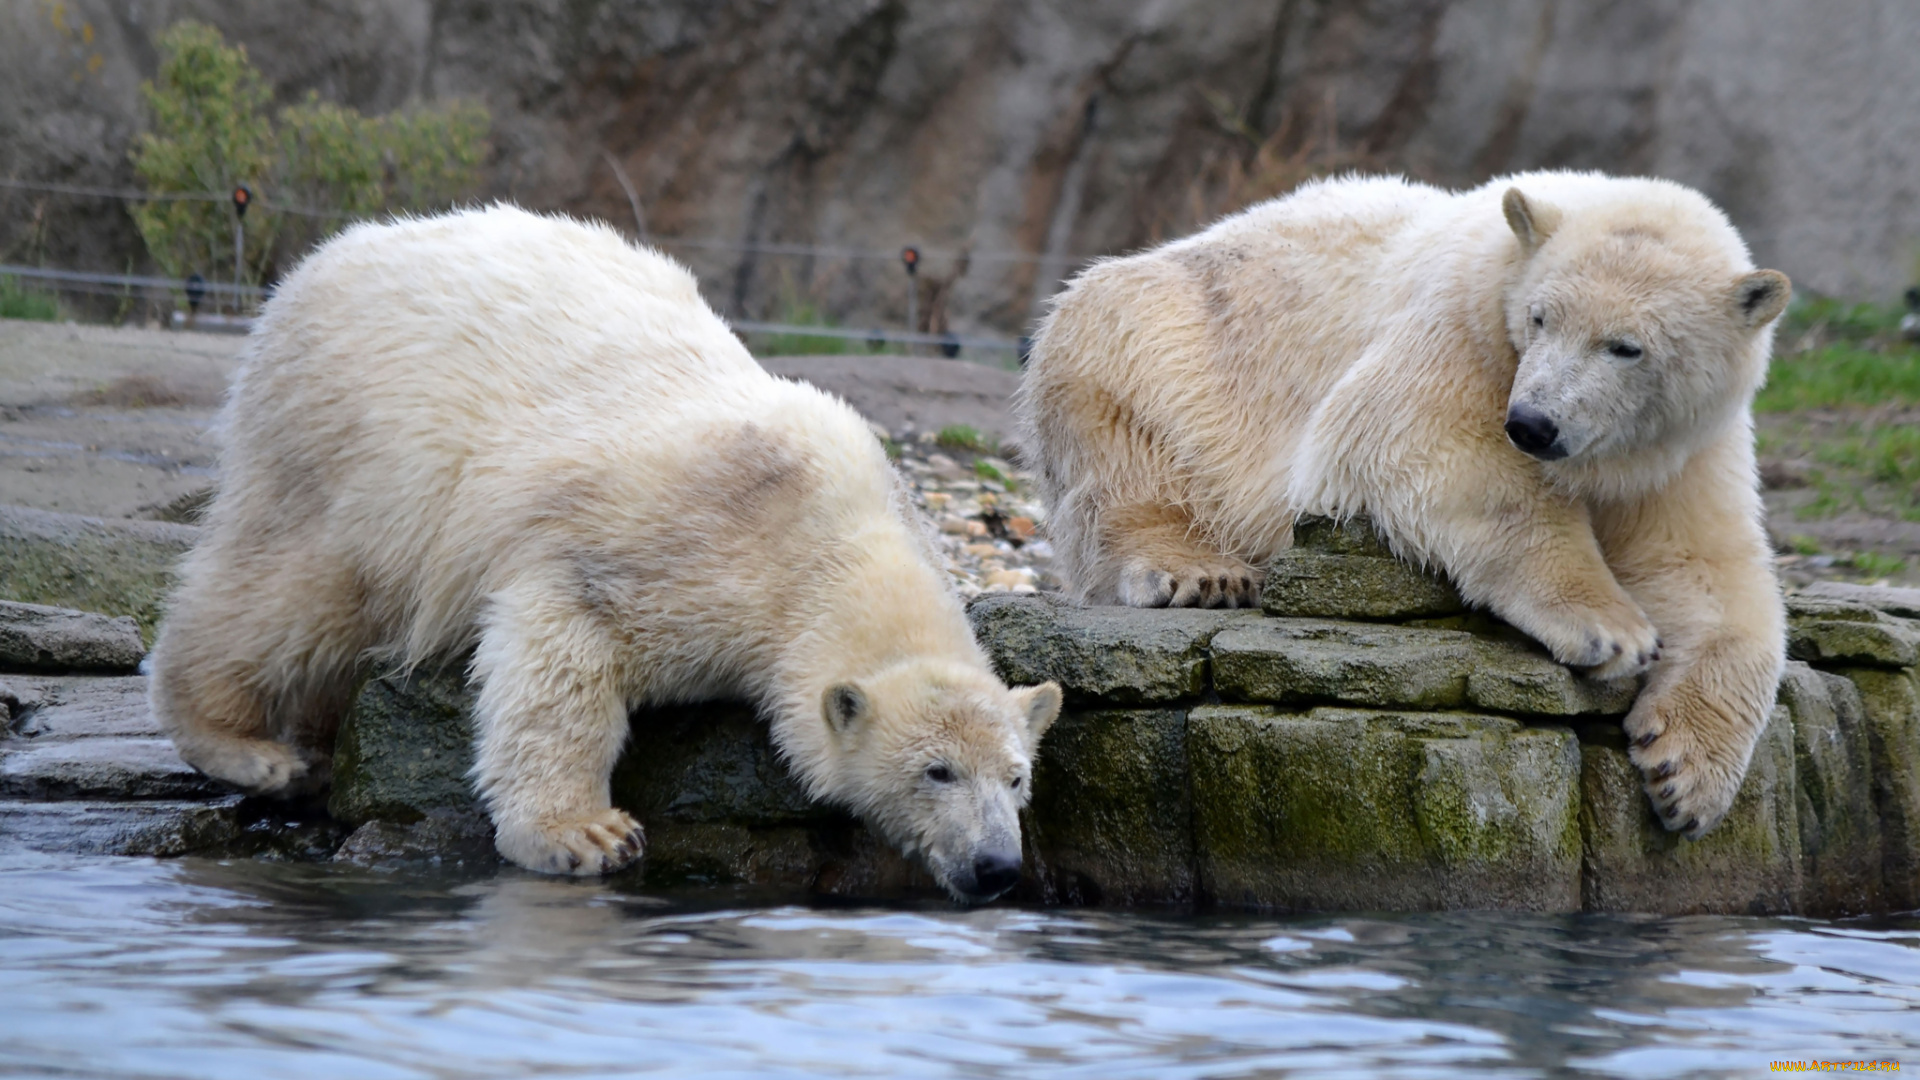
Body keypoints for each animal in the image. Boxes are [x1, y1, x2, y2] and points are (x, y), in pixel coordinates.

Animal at [149, 205, 1067, 895]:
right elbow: (561, 651)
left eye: (1016, 777)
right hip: (357, 446)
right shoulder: (670, 546)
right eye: (936, 773)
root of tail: (318, 263)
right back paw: (252, 749)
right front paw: (584, 833)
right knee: (292, 591)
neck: (831, 532)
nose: (996, 867)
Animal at [1029, 171, 1789, 837]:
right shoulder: (1462, 324)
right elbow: (1421, 441)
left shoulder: (1681, 447)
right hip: (1169, 345)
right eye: (1541, 317)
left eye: (1626, 347)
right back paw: (1201, 571)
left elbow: (1699, 568)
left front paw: (1686, 777)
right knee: (1128, 447)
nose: (1533, 424)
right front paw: (1611, 629)